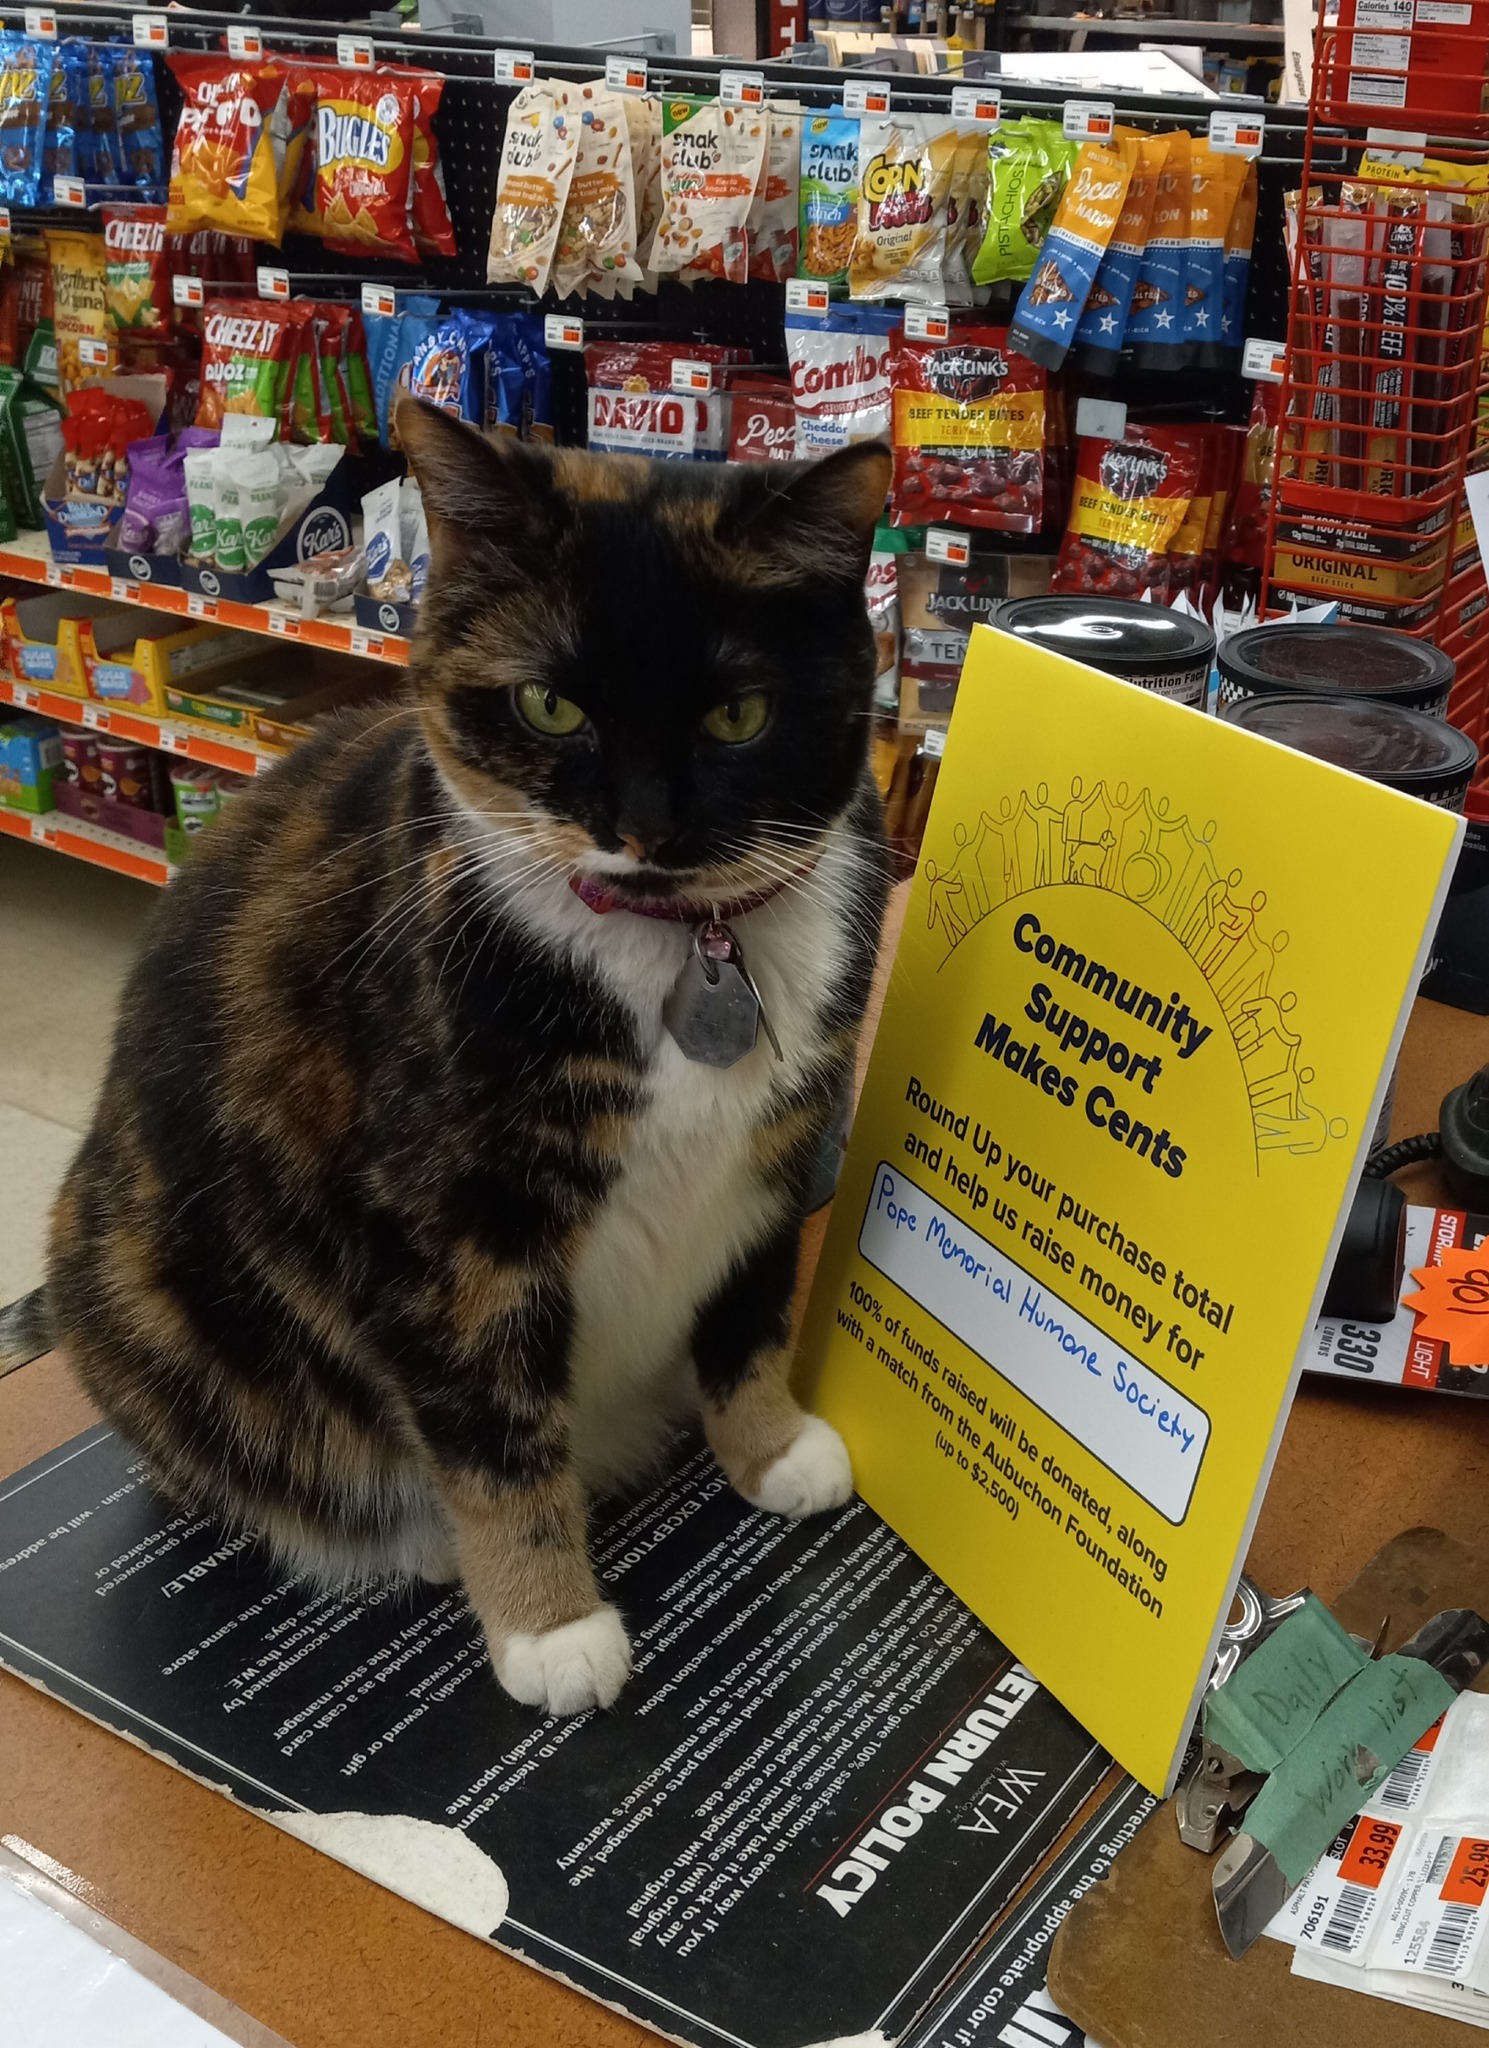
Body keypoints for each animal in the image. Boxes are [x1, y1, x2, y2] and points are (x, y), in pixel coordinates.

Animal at [49, 399, 897, 1712]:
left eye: (736, 716)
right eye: (550, 706)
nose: (643, 827)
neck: (676, 943)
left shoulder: (778, 1152)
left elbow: (748, 1317)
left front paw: (770, 1448)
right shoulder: (445, 1232)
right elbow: (494, 1433)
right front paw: (550, 1623)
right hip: (138, 1290)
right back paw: (425, 1543)